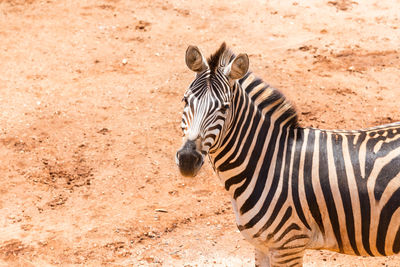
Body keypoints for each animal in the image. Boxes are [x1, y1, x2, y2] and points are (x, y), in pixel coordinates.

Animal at [175, 43, 400, 266]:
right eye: (185, 100)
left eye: (224, 107)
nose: (187, 159)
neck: (270, 161)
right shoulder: (262, 246)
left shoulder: (289, 245)